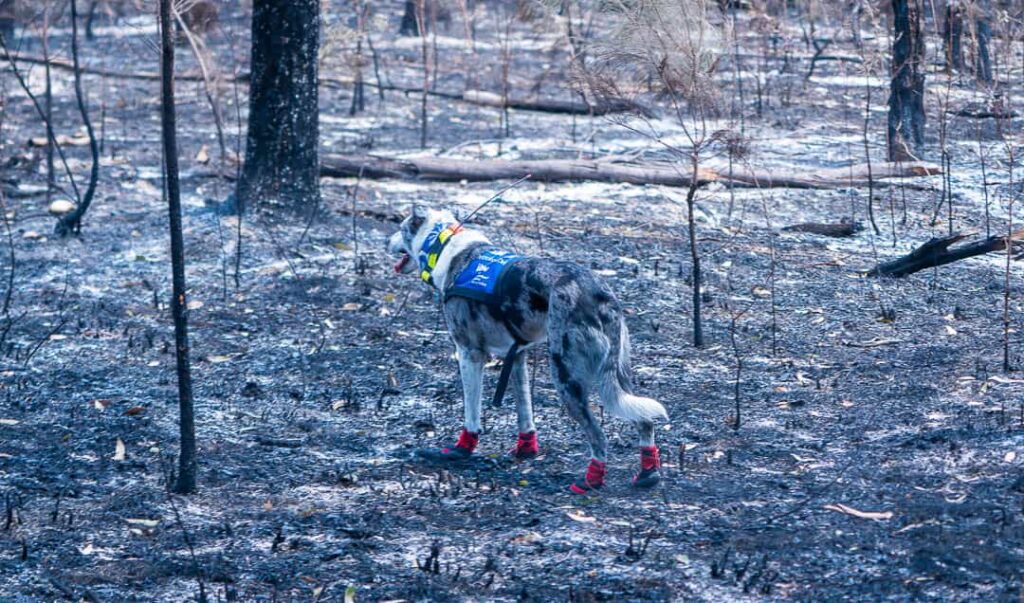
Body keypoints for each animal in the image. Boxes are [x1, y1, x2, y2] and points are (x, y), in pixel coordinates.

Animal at [387, 204, 667, 491]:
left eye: (400, 228)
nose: (387, 241)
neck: (444, 246)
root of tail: (600, 295)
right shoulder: (517, 356)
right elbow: (525, 412)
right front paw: (526, 450)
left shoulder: (469, 354)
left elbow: (471, 412)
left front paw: (461, 450)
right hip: (619, 379)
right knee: (645, 421)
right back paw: (648, 473)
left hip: (566, 377)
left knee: (599, 436)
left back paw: (590, 481)